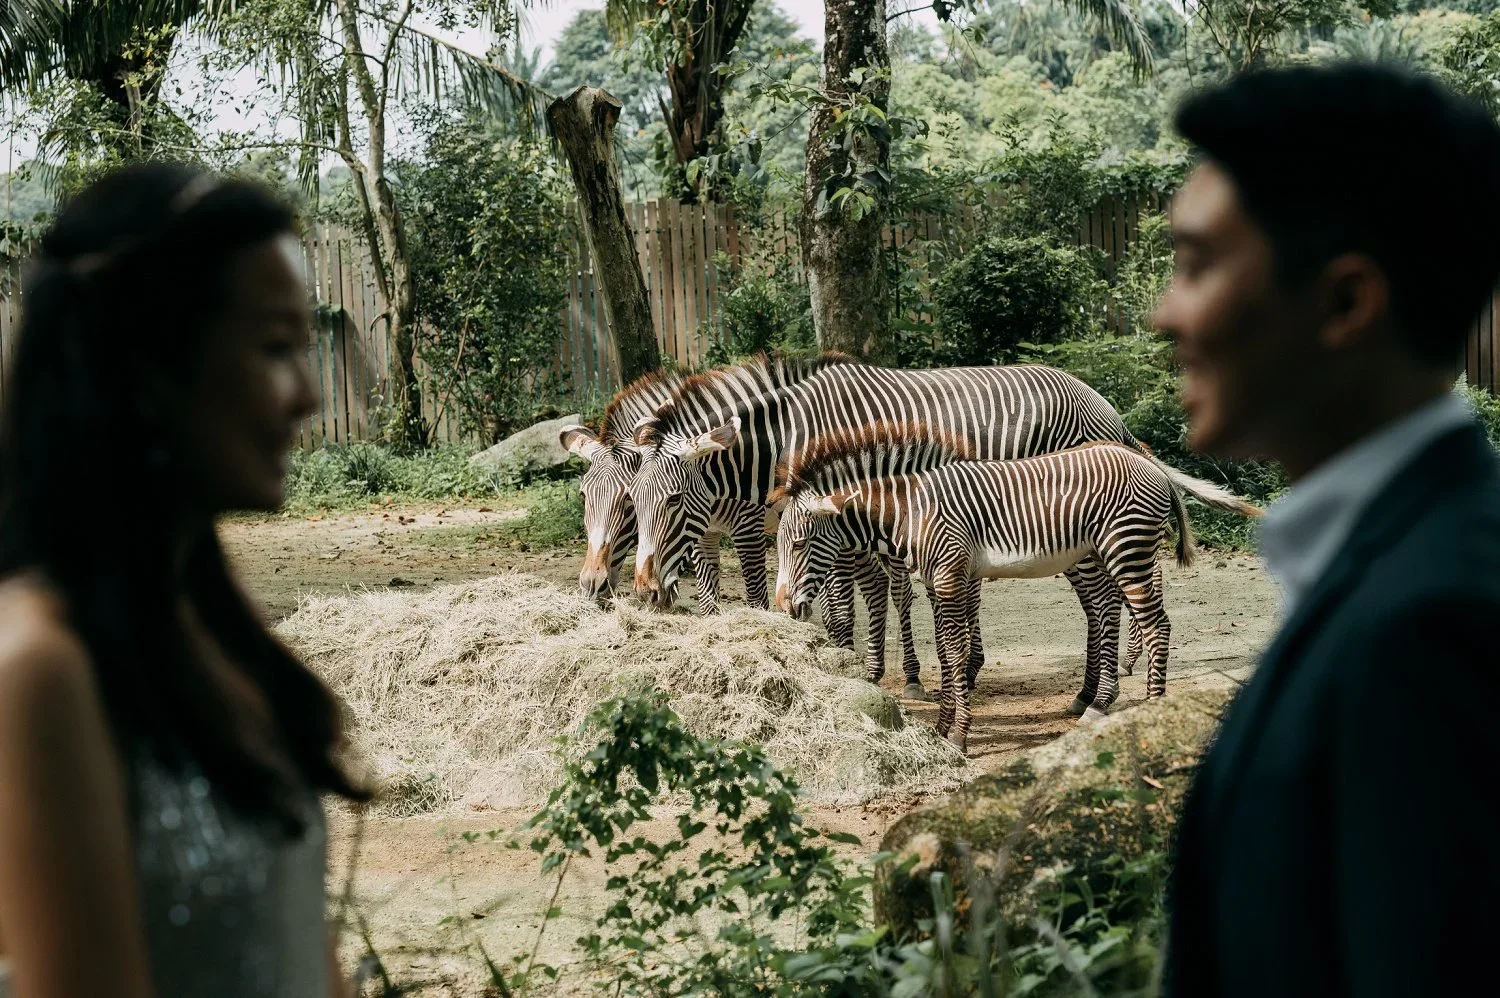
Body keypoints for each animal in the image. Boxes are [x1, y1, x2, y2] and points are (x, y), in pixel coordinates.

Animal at [627, 353, 1156, 696]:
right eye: (633, 501)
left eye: (673, 500)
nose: (645, 590)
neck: (788, 438)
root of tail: (1101, 401)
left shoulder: (831, 524)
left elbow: (841, 608)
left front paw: (848, 668)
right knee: (1104, 598)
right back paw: (1094, 685)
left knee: (1110, 596)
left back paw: (1104, 686)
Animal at [770, 422, 1261, 752]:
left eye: (799, 544)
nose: (783, 607)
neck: (912, 509)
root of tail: (1146, 461)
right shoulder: (943, 580)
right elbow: (948, 652)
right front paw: (943, 728)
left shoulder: (950, 576)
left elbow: (954, 652)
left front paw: (958, 735)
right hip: (1106, 552)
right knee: (1116, 612)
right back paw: (1099, 702)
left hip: (1127, 548)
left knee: (1157, 624)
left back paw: (1148, 710)